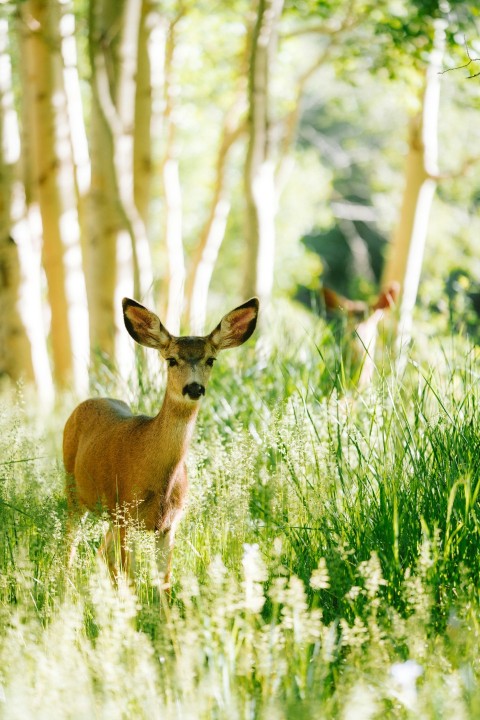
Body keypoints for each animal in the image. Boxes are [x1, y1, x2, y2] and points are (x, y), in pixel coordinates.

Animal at [63, 296, 259, 588]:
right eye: (171, 360)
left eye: (211, 359)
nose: (194, 388)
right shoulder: (127, 517)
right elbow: (132, 581)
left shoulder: (168, 525)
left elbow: (164, 582)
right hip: (74, 491)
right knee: (70, 548)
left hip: (110, 516)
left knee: (102, 553)